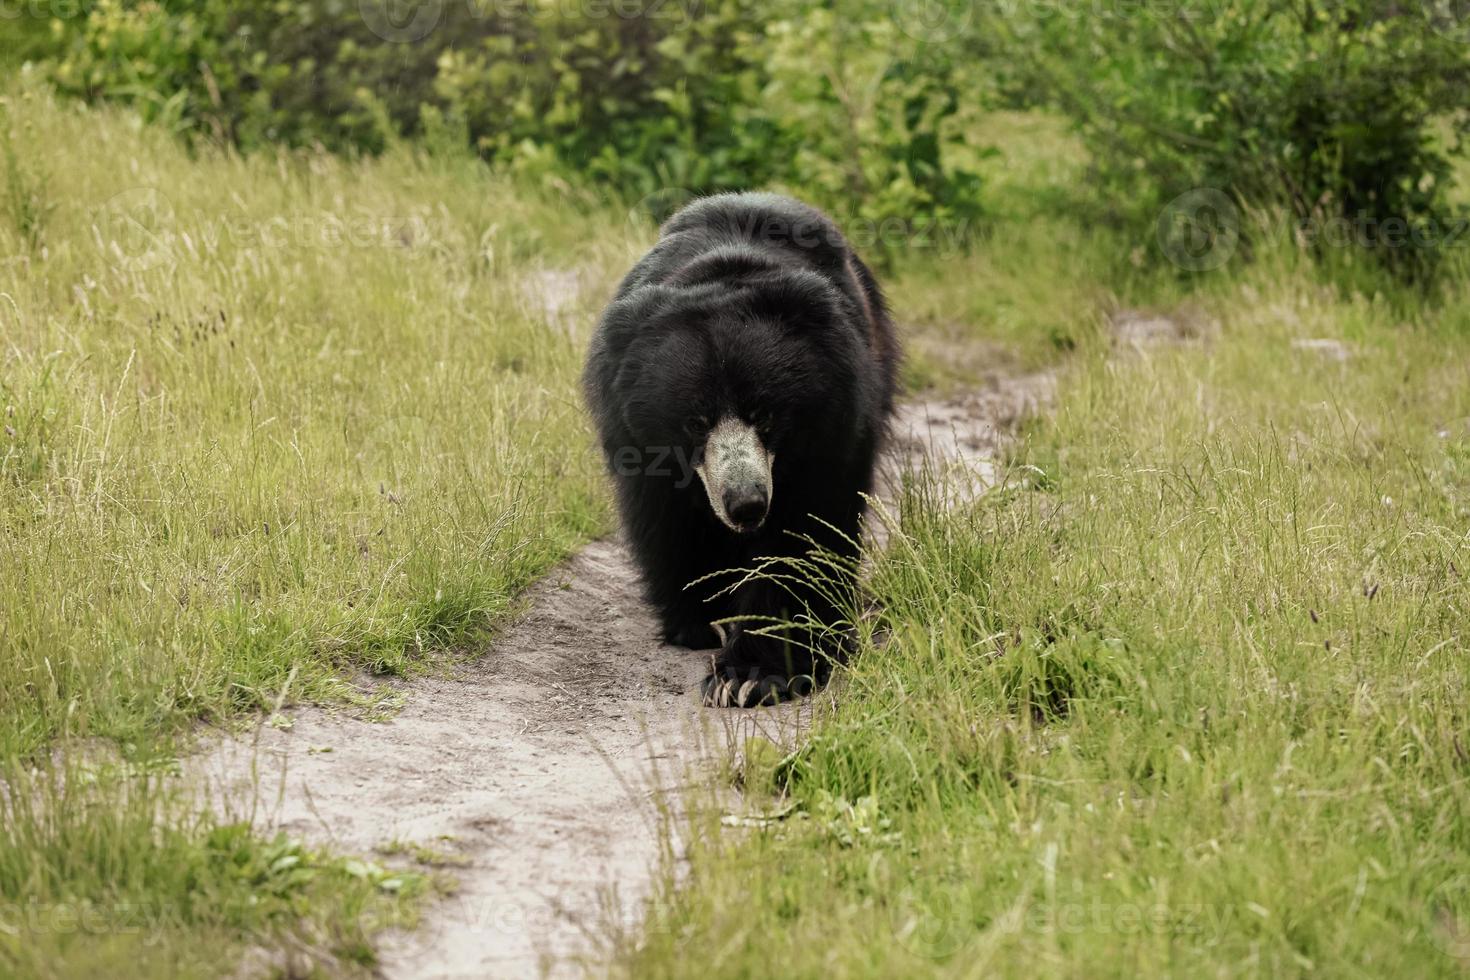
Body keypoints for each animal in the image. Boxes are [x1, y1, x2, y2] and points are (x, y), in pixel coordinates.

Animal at [582, 193, 893, 705]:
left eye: (765, 415)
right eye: (695, 422)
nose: (746, 505)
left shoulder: (832, 425)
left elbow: (801, 535)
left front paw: (750, 676)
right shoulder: (635, 437)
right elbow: (668, 522)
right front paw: (695, 624)